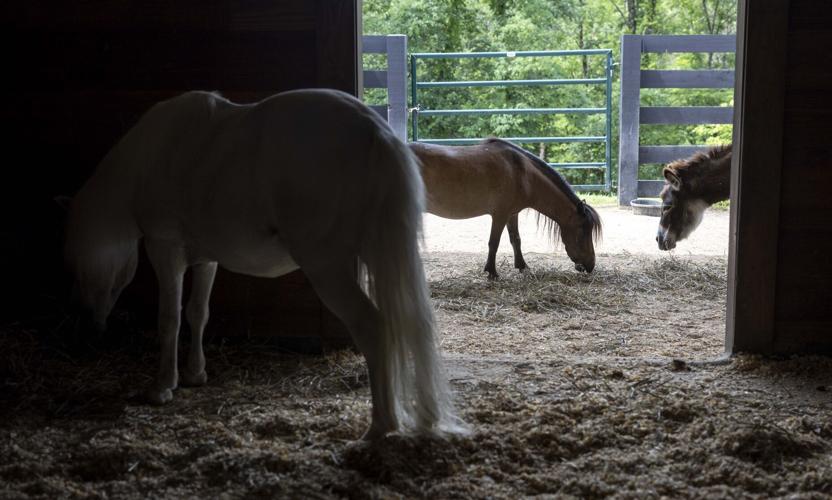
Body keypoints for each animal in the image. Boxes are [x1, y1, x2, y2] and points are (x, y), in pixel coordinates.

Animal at [64, 89, 464, 440]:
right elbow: (197, 313)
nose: (91, 325)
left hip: (327, 266)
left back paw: (380, 427)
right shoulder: (206, 259)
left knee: (373, 328)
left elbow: (169, 319)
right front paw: (195, 374)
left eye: (79, 260)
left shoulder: (166, 249)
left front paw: (162, 387)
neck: (153, 156)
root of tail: (374, 131)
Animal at [410, 138, 602, 279]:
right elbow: (493, 243)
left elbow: (516, 239)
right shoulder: (500, 215)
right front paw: (492, 272)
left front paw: (522, 266)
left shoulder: (512, 214)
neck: (522, 174)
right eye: (583, 231)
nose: (590, 265)